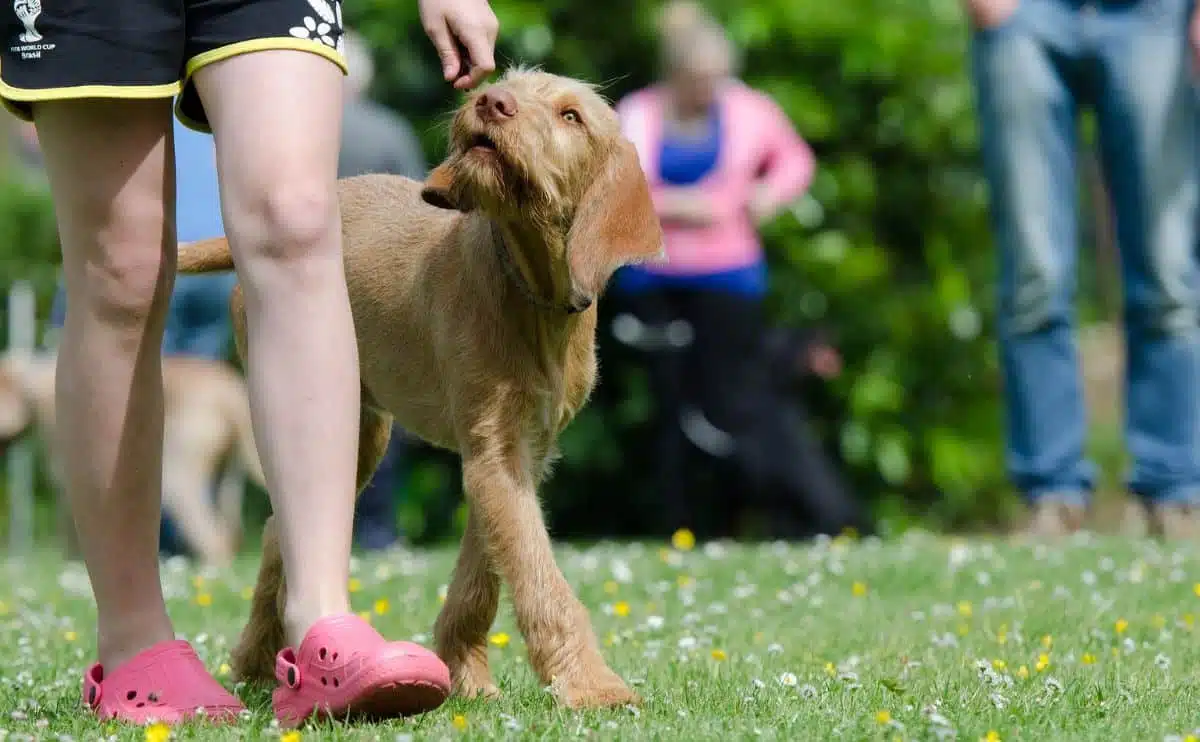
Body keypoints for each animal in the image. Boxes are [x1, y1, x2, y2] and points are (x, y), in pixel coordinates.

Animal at [0, 350, 265, 564]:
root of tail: (230, 391)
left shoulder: (66, 480)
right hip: (227, 477)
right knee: (228, 533)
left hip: (177, 478)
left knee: (213, 539)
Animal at [177, 67, 667, 705]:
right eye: (509, 84)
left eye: (570, 116)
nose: (491, 100)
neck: (531, 291)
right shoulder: (494, 451)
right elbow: (538, 573)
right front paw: (591, 684)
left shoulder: (516, 455)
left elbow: (484, 574)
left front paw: (466, 675)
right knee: (277, 531)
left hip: (358, 435)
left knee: (275, 534)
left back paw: (258, 662)